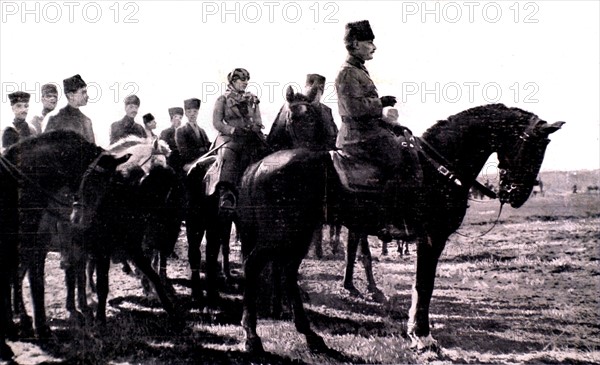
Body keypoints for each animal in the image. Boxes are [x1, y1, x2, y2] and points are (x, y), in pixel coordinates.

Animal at [237, 103, 564, 352]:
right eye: (533, 148)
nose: (518, 195)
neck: (439, 168)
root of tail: (258, 165)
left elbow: (420, 285)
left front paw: (415, 332)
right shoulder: (432, 238)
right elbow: (424, 285)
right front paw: (423, 336)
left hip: (298, 233)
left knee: (287, 272)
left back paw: (309, 336)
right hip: (282, 232)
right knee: (254, 266)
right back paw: (252, 336)